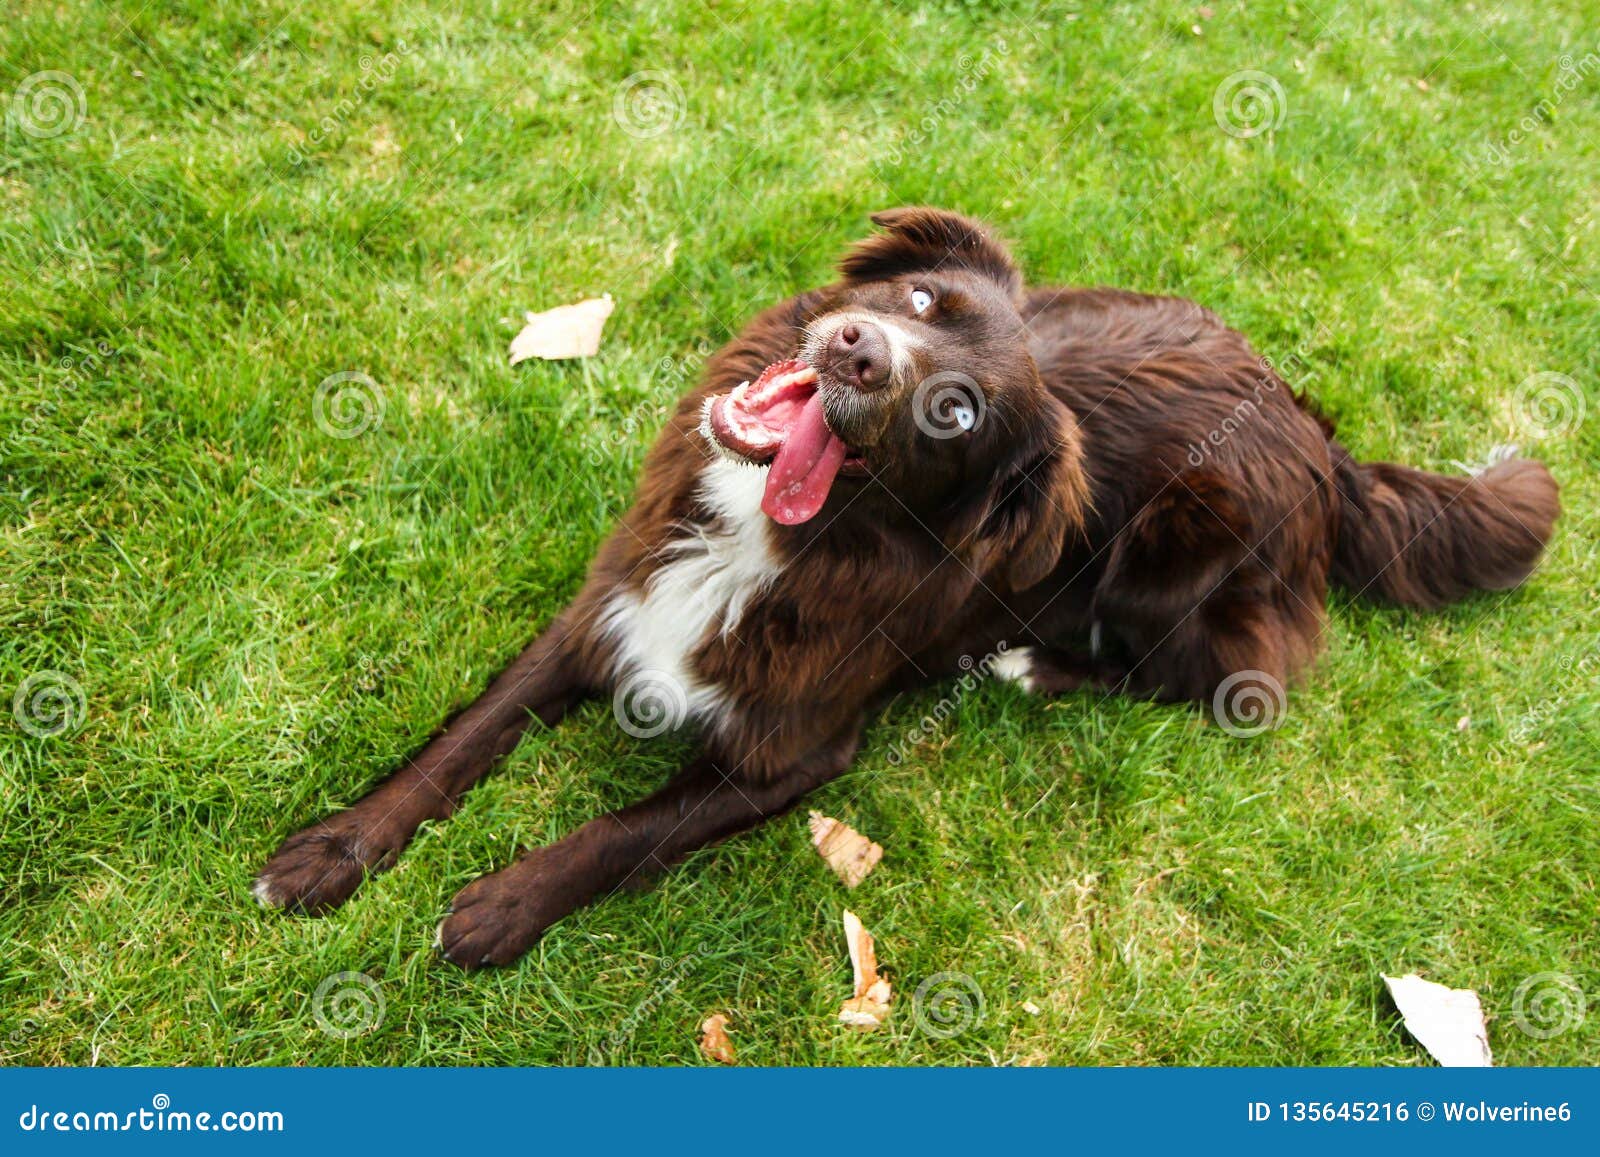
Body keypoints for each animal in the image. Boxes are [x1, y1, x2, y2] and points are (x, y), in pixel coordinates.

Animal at [252, 208, 1561, 966]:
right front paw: (330, 850)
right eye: (925, 301)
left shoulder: (796, 752)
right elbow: (461, 736)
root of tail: (1317, 439)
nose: (858, 350)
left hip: (1179, 547)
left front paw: (500, 905)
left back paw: (1039, 663)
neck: (767, 541)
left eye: (956, 413)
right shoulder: (608, 608)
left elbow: (627, 829)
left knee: (1233, 678)